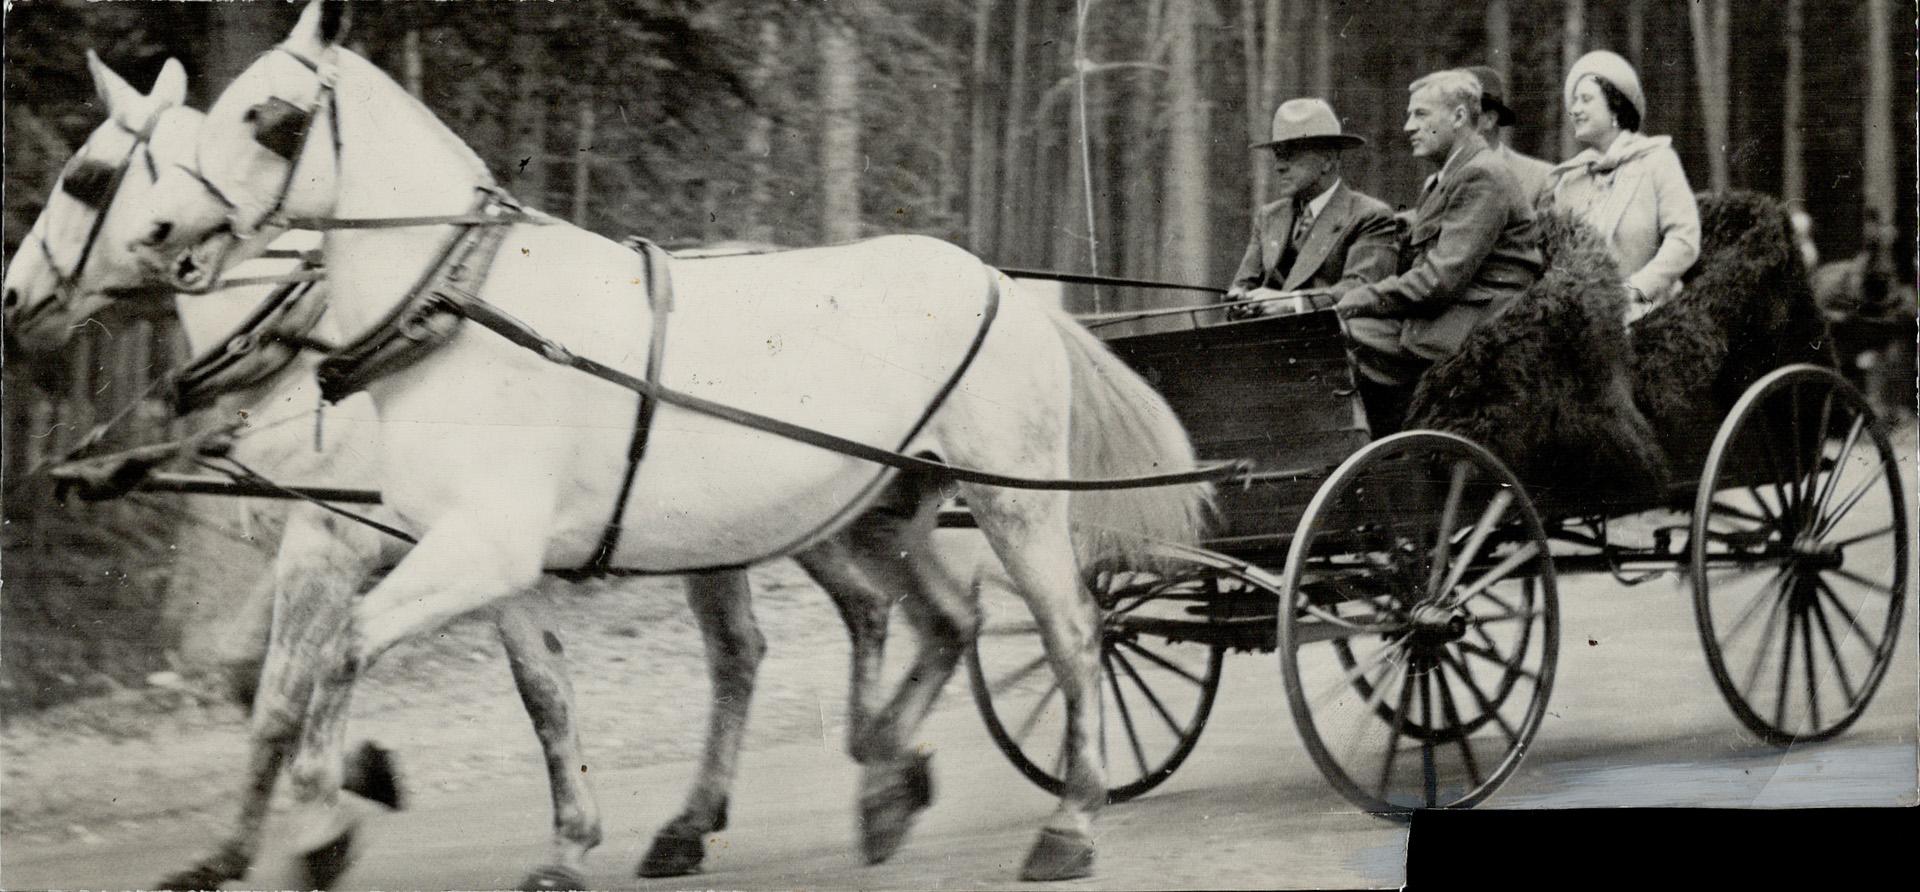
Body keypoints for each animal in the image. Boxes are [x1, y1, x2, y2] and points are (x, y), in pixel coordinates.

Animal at [3, 52, 771, 886]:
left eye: (85, 177)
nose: (13, 298)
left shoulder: (344, 541)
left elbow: (284, 695)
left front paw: (328, 816)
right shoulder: (347, 537)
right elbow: (249, 672)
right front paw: (269, 828)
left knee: (756, 646)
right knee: (748, 648)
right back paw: (699, 822)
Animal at [131, 1, 1213, 882]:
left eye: (270, 118)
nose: (157, 233)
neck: (462, 315)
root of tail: (1003, 282)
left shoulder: (475, 547)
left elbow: (338, 652)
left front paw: (324, 825)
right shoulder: (476, 554)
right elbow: (530, 693)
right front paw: (560, 843)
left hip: (1015, 497)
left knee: (1071, 633)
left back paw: (1069, 820)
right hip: (882, 511)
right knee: (948, 622)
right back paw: (882, 784)